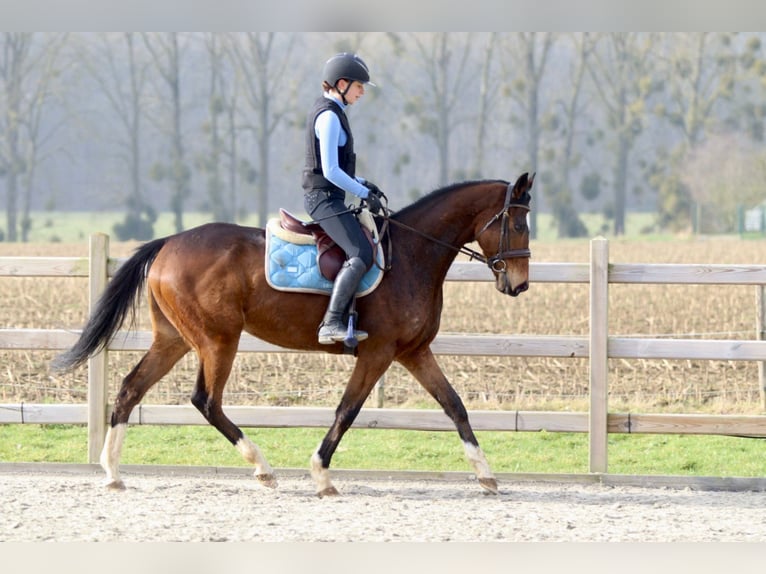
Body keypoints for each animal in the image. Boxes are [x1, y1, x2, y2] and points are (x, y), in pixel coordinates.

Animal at [54, 173, 536, 498]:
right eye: (518, 225)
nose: (519, 285)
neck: (413, 255)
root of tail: (169, 242)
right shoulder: (377, 353)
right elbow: (347, 410)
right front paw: (321, 475)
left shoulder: (414, 352)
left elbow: (455, 406)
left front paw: (486, 474)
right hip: (217, 340)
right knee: (206, 400)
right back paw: (262, 467)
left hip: (173, 340)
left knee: (130, 388)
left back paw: (113, 472)